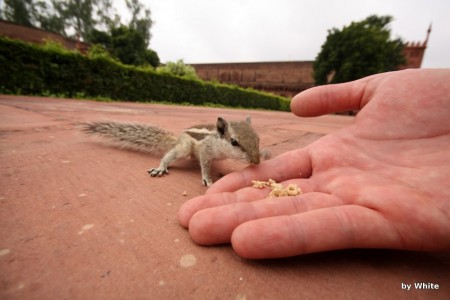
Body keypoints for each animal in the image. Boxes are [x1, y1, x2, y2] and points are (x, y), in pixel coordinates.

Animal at [81, 116, 268, 186]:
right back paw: (161, 167)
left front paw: (265, 154)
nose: (256, 161)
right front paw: (208, 179)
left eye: (258, 138)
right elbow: (205, 165)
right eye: (234, 142)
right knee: (171, 155)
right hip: (184, 147)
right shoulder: (206, 150)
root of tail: (177, 138)